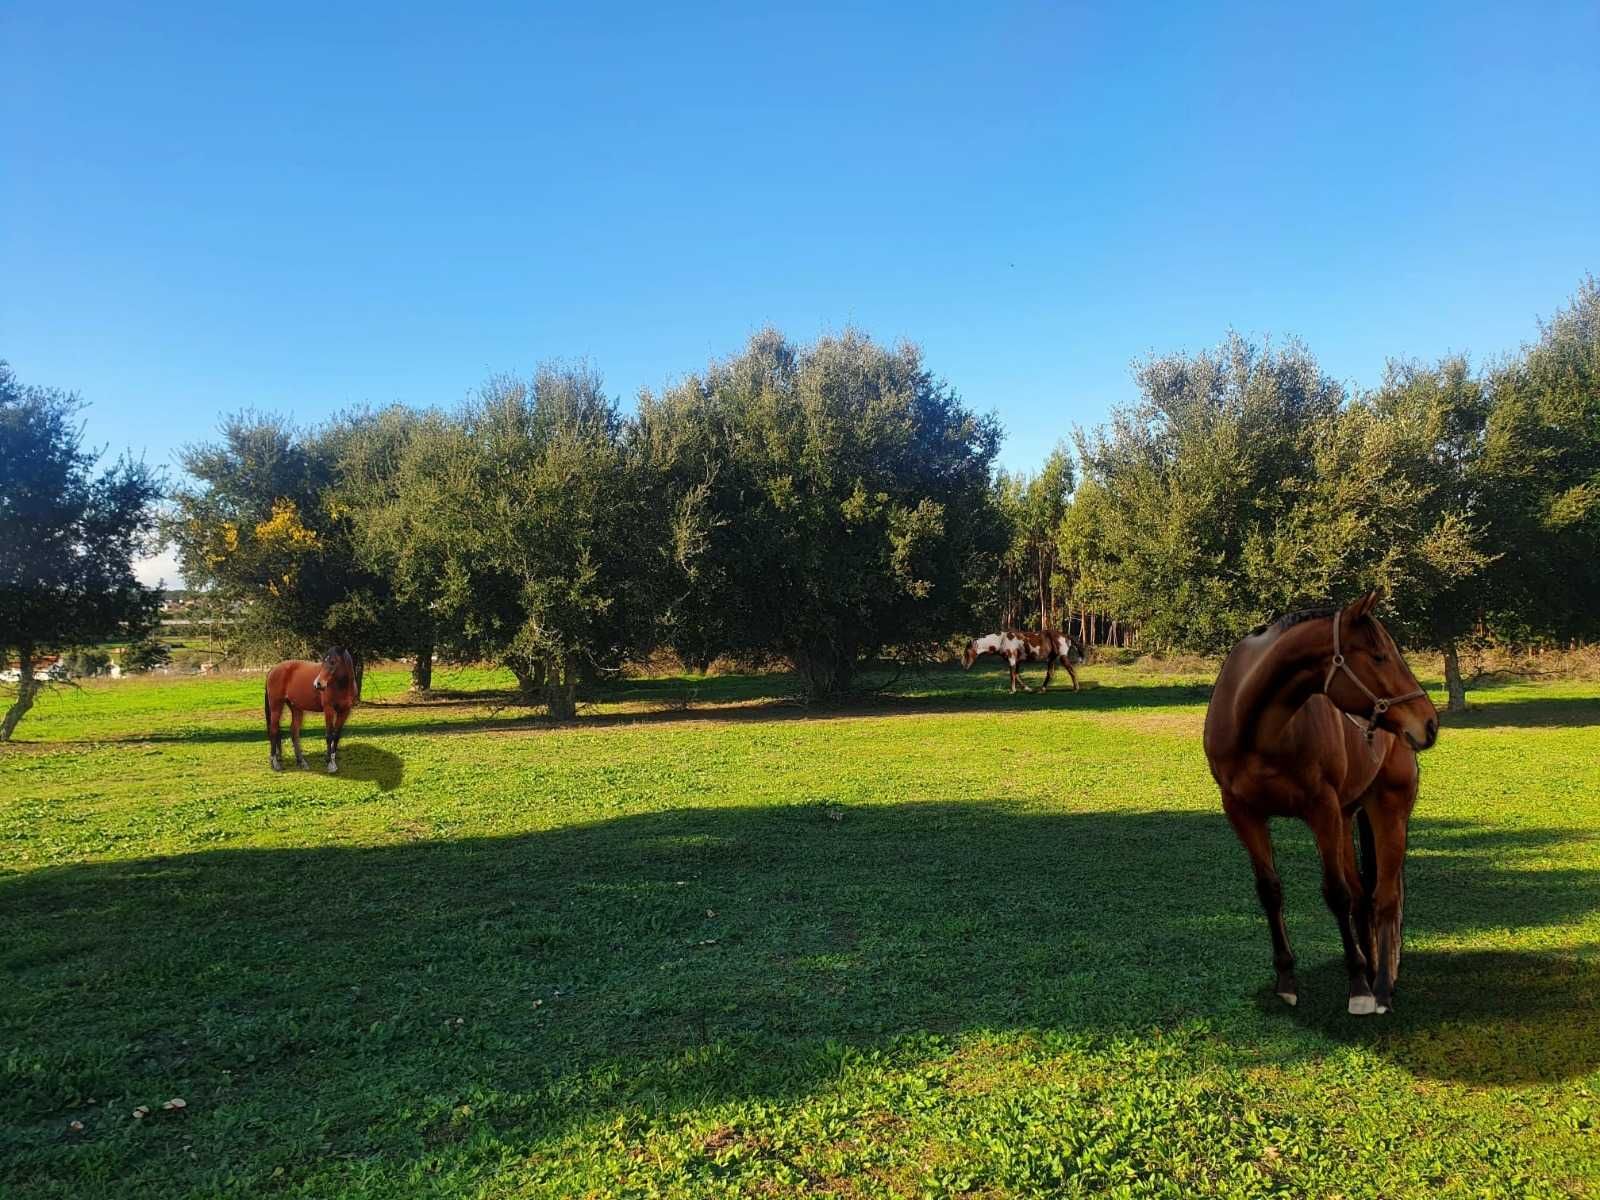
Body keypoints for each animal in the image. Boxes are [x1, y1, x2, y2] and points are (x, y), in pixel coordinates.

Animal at [953, 630, 1081, 694]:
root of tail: (1065, 635)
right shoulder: (1017, 661)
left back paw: (1076, 688)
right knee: (1050, 674)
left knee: (1071, 671)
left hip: (1062, 657)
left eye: (967, 651)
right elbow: (1017, 676)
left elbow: (1012, 676)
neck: (1001, 641)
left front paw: (1012, 690)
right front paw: (1028, 689)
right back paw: (1041, 690)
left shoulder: (1012, 660)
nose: (963, 665)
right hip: (1051, 659)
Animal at [1203, 592, 1446, 1017]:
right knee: (1364, 898)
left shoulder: (1322, 810)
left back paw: (1382, 987)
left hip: (1388, 810)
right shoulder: (1243, 812)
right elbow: (1271, 891)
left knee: (1385, 899)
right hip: (1347, 817)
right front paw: (1287, 981)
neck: (1256, 727)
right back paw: (1373, 968)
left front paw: (1360, 989)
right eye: (1379, 656)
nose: (1429, 723)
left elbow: (1336, 894)